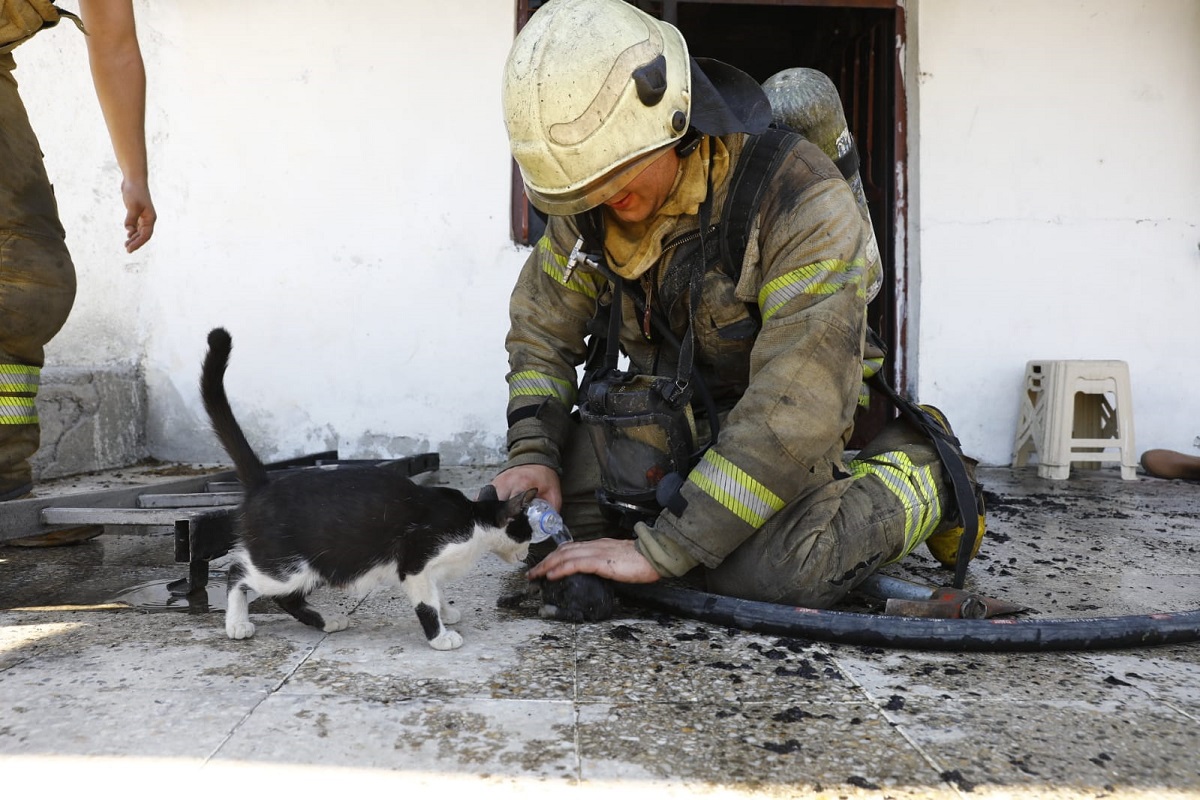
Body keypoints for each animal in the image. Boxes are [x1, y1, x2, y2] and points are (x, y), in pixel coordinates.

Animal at [200, 328, 535, 647]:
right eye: (527, 533)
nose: (529, 553)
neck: (474, 520)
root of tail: (264, 484)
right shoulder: (415, 560)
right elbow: (426, 602)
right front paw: (439, 636)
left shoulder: (431, 568)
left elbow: (437, 590)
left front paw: (447, 611)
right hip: (286, 566)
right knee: (239, 574)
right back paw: (237, 623)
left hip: (321, 562)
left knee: (287, 598)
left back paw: (327, 621)